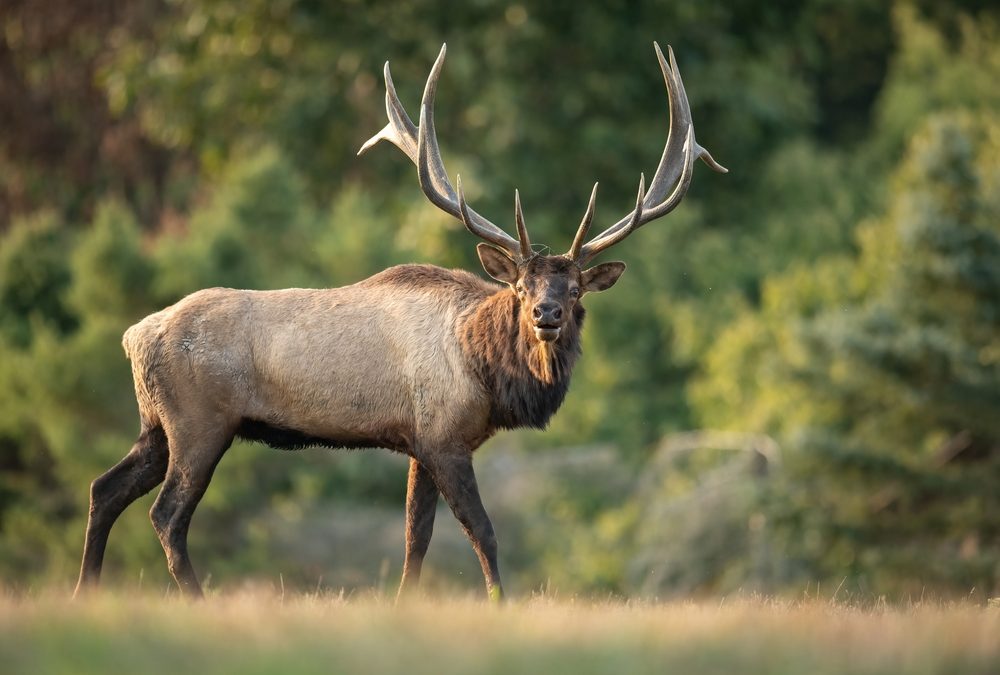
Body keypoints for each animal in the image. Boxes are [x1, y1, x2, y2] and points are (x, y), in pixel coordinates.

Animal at [74, 42, 725, 601]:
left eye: (574, 288)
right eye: (521, 287)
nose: (547, 314)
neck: (485, 371)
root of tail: (135, 335)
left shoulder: (418, 442)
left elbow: (417, 536)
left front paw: (404, 602)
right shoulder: (442, 437)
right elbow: (482, 531)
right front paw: (500, 603)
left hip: (156, 424)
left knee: (104, 488)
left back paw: (87, 589)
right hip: (199, 421)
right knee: (166, 514)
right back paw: (193, 597)